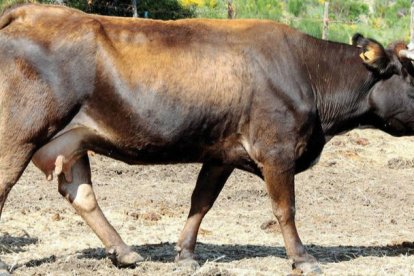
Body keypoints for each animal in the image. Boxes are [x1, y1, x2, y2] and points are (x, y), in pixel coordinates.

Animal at [1, 3, 414, 274]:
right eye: (411, 79)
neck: (309, 73)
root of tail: (33, 11)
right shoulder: (276, 150)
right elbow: (285, 208)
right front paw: (302, 257)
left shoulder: (221, 154)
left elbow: (201, 202)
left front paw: (184, 254)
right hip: (19, 135)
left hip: (70, 140)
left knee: (82, 195)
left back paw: (125, 252)